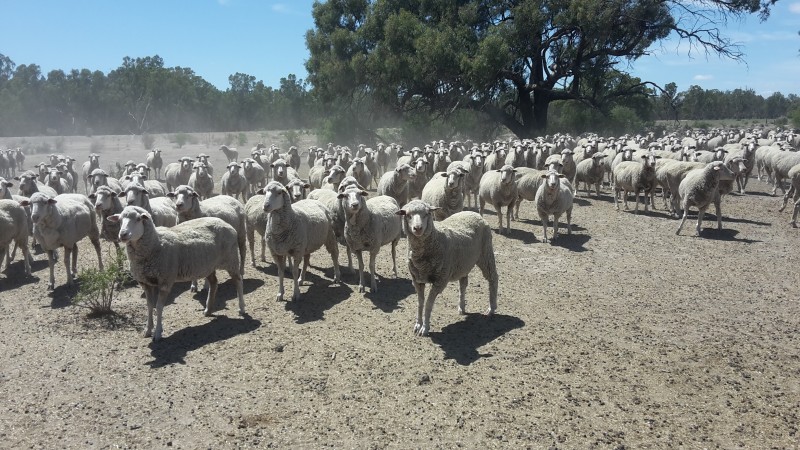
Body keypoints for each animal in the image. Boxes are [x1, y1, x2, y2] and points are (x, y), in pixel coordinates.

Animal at [108, 205, 244, 342]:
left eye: (138, 219)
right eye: (119, 220)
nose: (123, 234)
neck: (156, 244)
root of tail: (225, 223)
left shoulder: (165, 281)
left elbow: (159, 307)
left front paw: (158, 333)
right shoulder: (145, 282)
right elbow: (149, 306)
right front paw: (147, 330)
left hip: (231, 259)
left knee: (238, 281)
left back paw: (242, 308)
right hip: (208, 266)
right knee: (214, 283)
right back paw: (208, 310)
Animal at [396, 199, 496, 336]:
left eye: (427, 214)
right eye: (407, 215)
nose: (418, 228)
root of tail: (474, 213)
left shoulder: (440, 281)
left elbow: (428, 304)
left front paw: (425, 328)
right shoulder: (417, 280)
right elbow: (420, 303)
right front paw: (418, 324)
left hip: (486, 253)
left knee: (493, 278)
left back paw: (492, 308)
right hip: (463, 263)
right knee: (463, 284)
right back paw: (461, 307)